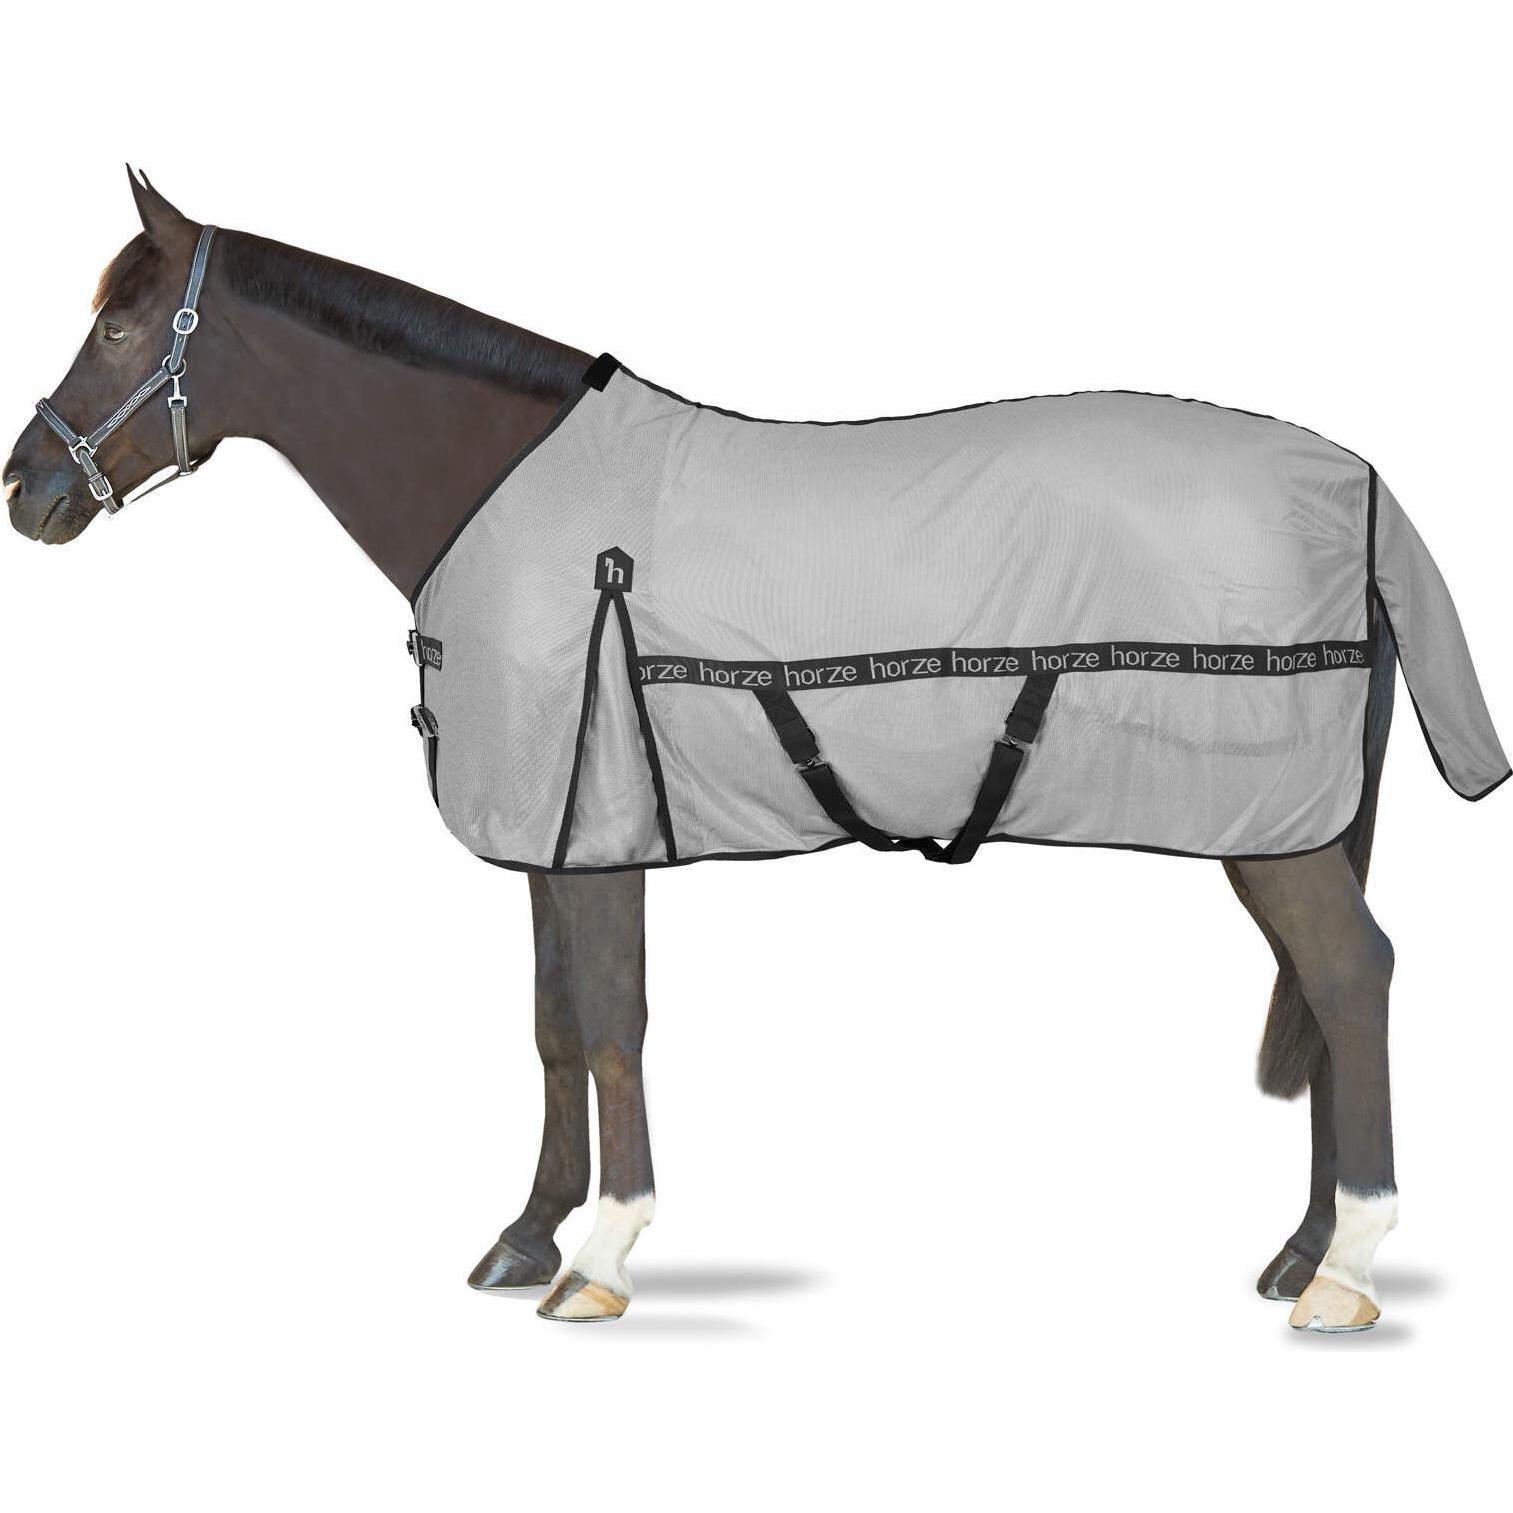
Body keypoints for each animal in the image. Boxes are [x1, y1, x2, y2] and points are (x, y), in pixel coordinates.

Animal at [7, 169, 1506, 1332]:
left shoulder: (603, 827)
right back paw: (1303, 1249)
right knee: (1328, 992)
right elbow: (552, 1026)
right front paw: (527, 1232)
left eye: (124, 319)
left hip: (1276, 831)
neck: (499, 491)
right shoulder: (555, 834)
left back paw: (1346, 1269)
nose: (28, 487)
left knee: (1353, 977)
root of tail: (1361, 486)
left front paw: (603, 1254)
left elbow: (612, 1022)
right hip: (1290, 825)